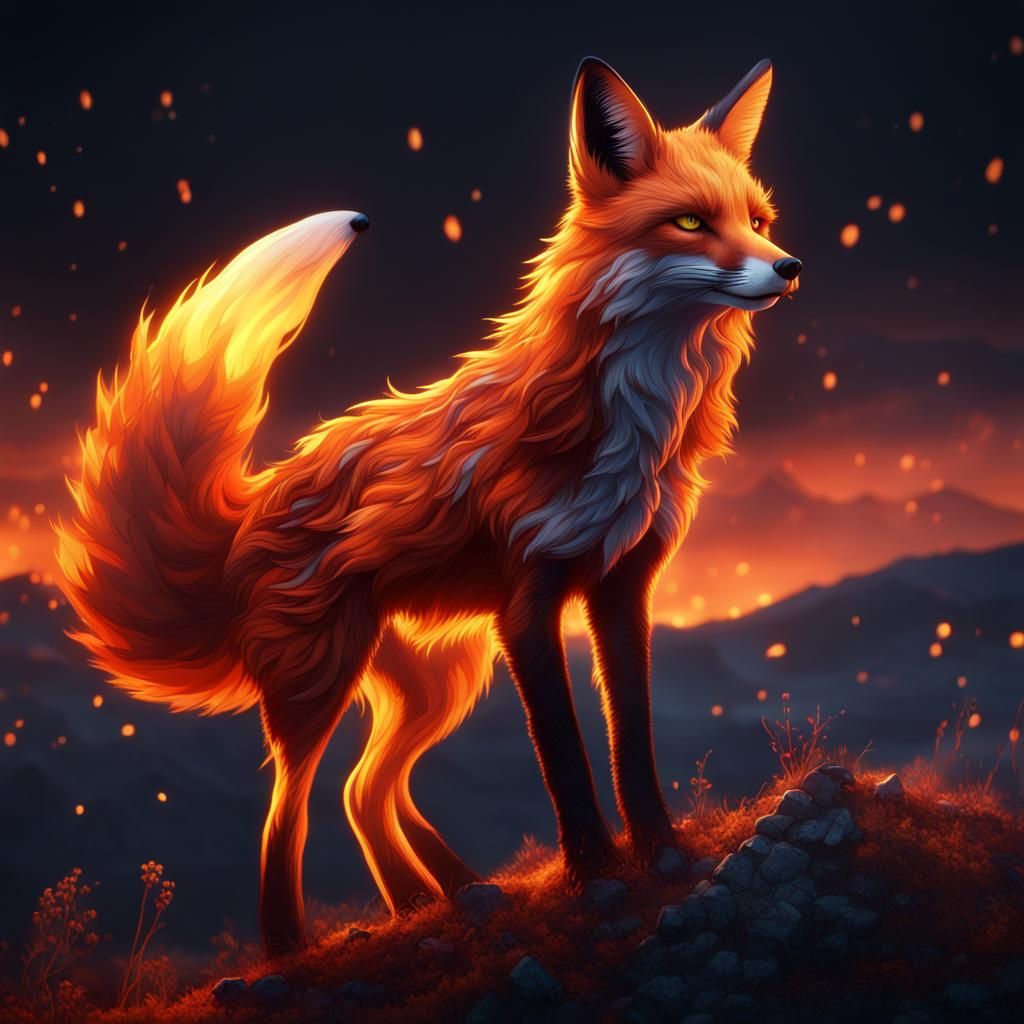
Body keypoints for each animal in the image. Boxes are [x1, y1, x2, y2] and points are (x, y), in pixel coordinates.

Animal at [56, 57, 800, 955]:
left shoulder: (624, 588)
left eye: (757, 221)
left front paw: (663, 856)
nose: (790, 266)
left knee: (363, 791)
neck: (627, 422)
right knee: (288, 812)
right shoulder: (526, 605)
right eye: (691, 222)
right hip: (322, 681)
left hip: (437, 679)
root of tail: (252, 507)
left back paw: (441, 897)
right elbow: (562, 755)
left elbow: (634, 739)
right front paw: (594, 873)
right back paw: (290, 948)